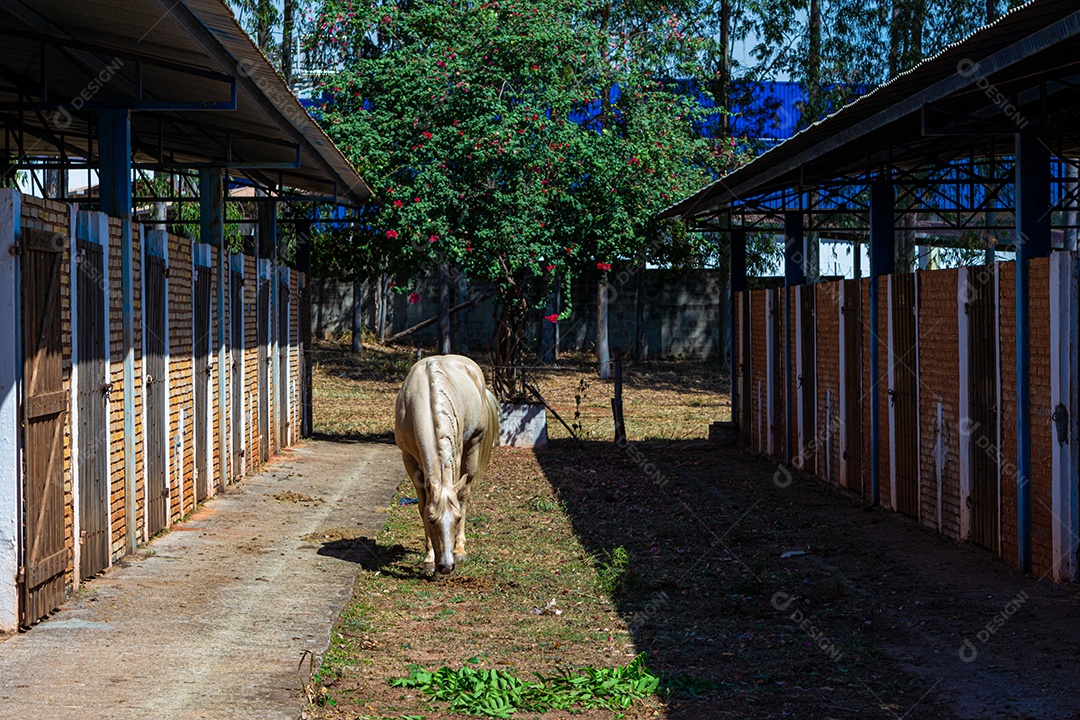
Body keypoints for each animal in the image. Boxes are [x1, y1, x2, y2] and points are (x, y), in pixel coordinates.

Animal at [394, 355, 499, 575]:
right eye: (431, 520)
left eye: (457, 518)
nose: (446, 566)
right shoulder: (408, 459)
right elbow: (422, 505)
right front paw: (428, 559)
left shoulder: (456, 455)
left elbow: (458, 496)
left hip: (473, 446)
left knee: (465, 493)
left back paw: (459, 549)